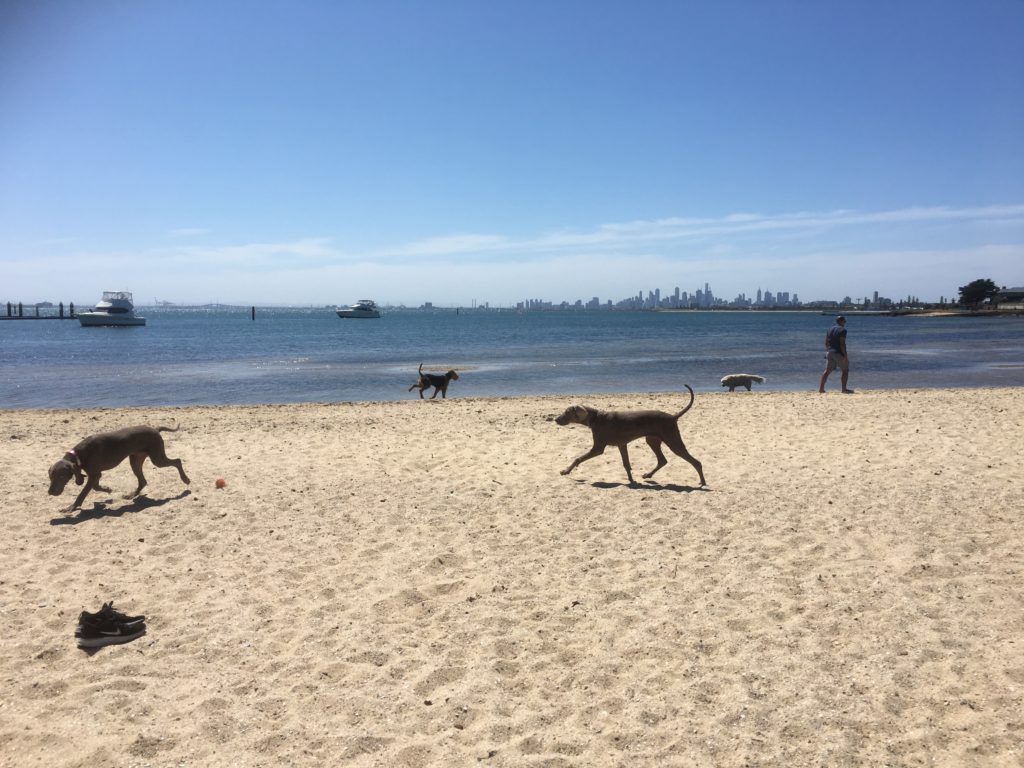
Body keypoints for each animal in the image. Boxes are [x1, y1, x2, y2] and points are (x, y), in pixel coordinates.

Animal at [557, 385, 708, 487]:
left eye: (566, 412)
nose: (555, 419)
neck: (596, 418)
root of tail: (673, 416)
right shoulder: (622, 445)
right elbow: (626, 464)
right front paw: (631, 480)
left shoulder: (598, 448)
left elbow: (578, 458)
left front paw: (565, 471)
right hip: (652, 440)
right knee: (662, 460)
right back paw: (648, 474)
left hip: (673, 441)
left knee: (696, 462)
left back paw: (702, 481)